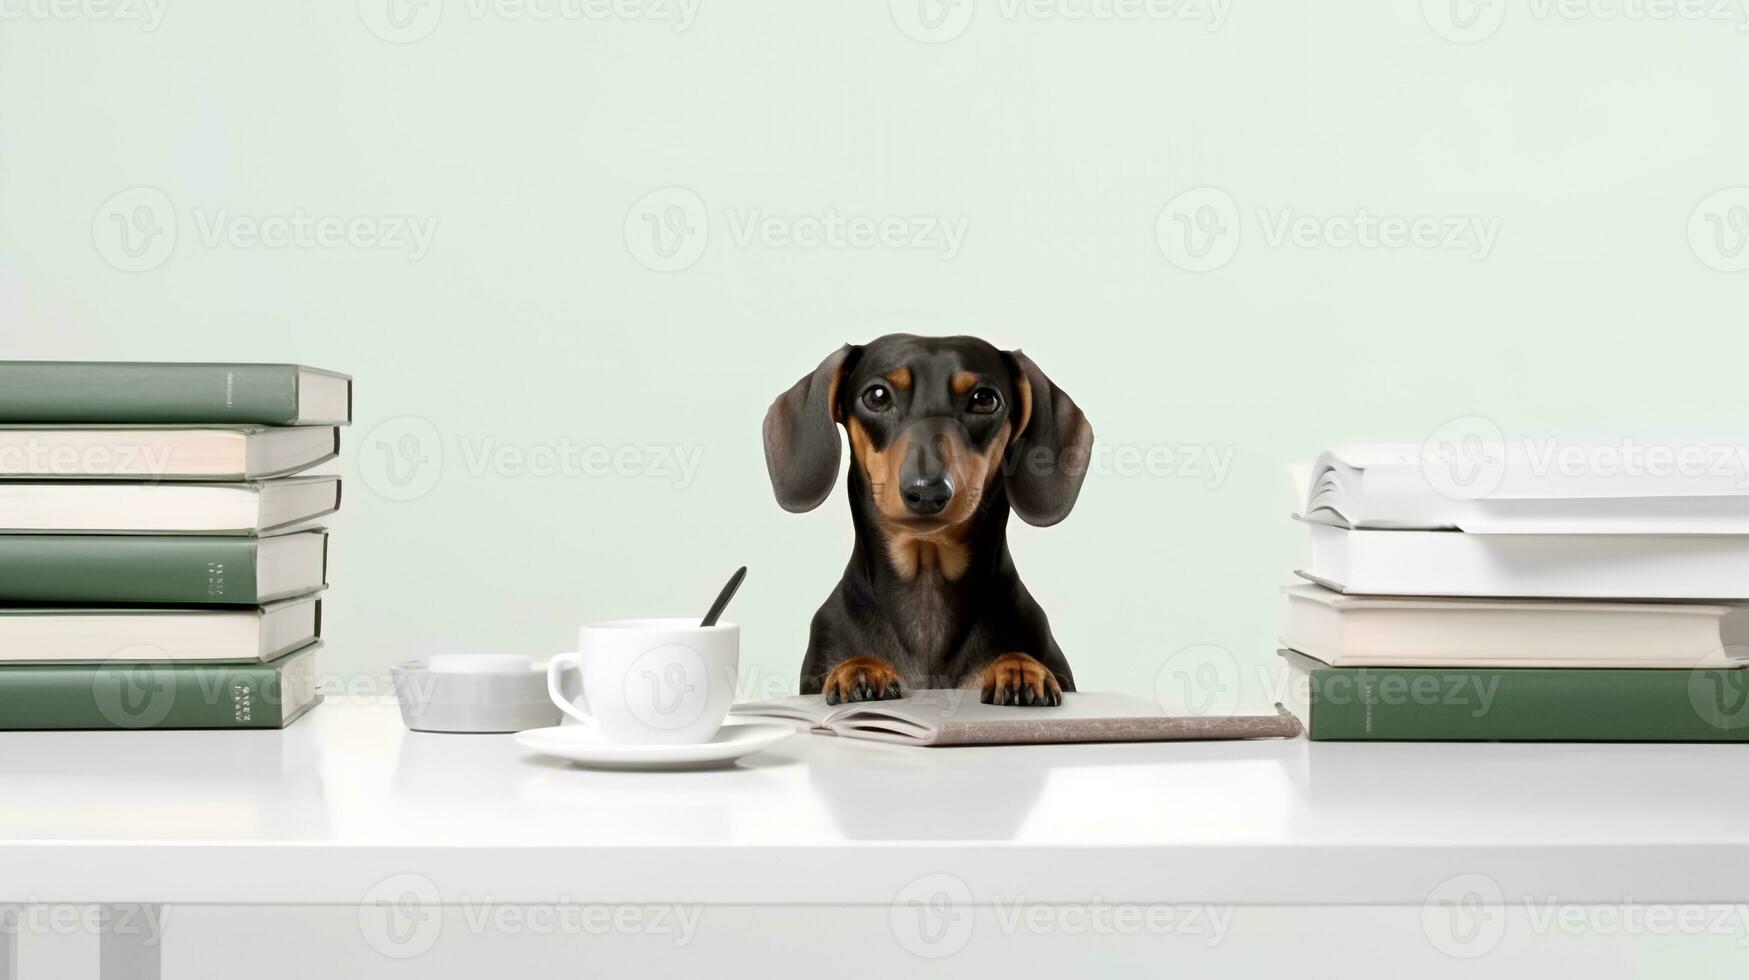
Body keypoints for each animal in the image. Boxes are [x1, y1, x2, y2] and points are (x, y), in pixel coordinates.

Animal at [766, 334, 1091, 703]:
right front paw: (859, 669)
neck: (927, 593)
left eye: (984, 399)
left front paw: (1021, 669)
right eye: (877, 395)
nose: (927, 491)